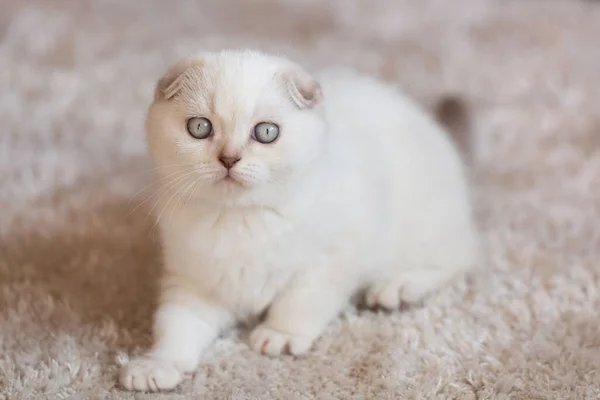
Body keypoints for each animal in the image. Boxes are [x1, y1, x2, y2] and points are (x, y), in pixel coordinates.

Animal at [119, 49, 480, 390]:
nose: (229, 159)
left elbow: (300, 300)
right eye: (199, 128)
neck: (239, 219)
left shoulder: (330, 259)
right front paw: (157, 365)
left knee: (461, 256)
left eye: (266, 132)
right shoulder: (191, 282)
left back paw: (398, 288)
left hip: (424, 223)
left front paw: (279, 335)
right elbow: (175, 326)